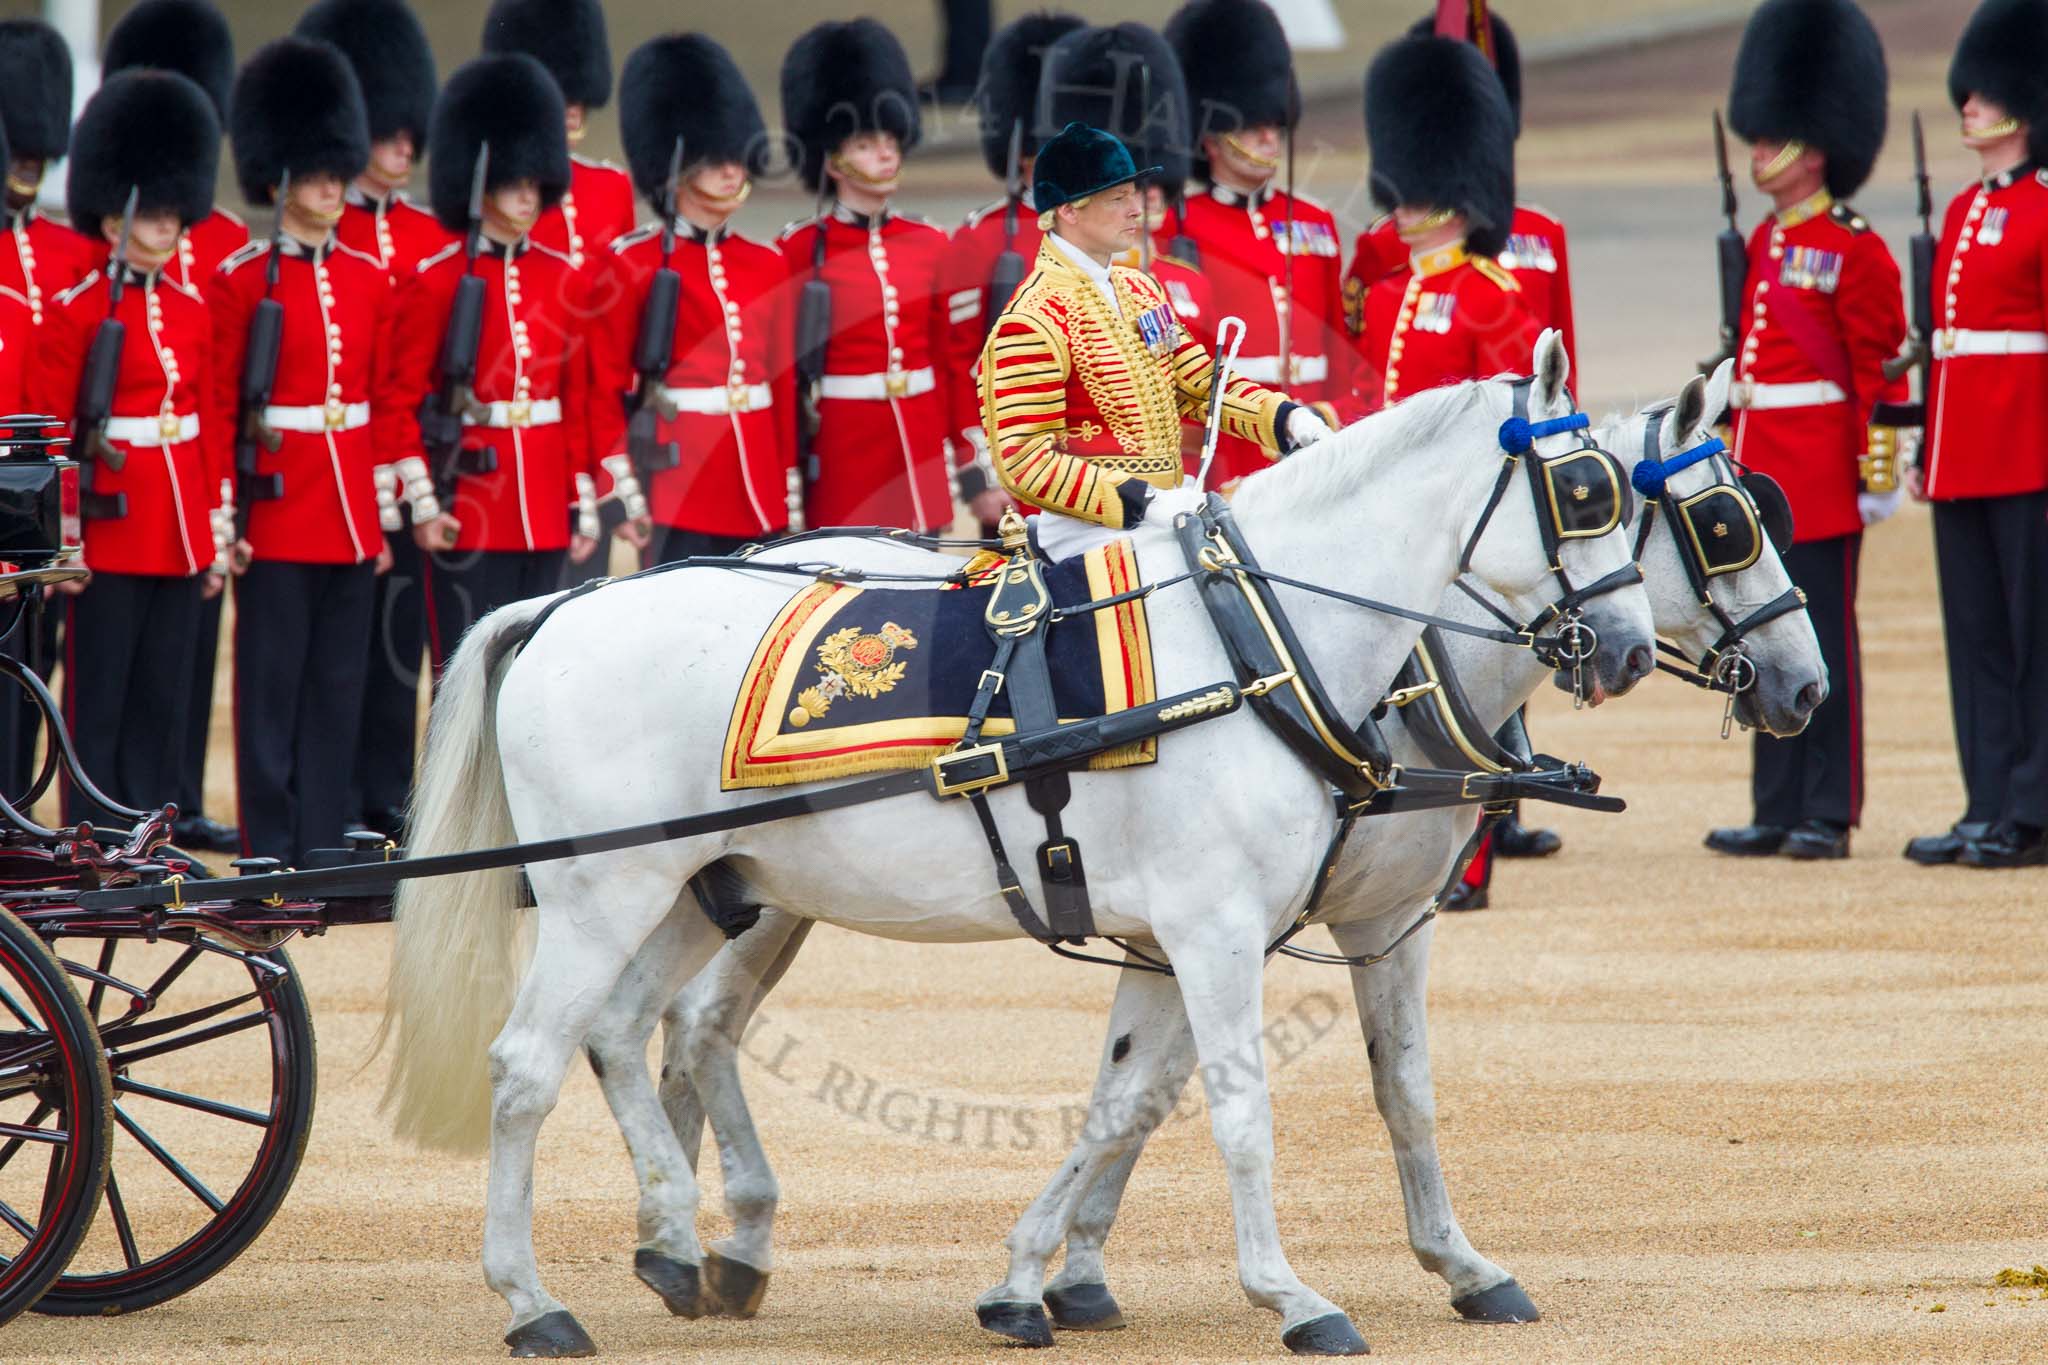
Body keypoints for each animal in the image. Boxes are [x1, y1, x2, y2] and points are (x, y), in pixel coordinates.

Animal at [379, 331, 1659, 1357]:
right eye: (1583, 491)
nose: (1628, 650)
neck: (1256, 643)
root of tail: (564, 607)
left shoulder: (1224, 934)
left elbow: (1167, 1099)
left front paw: (1033, 1281)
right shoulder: (1216, 932)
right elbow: (1236, 1112)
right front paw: (1290, 1296)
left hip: (702, 887)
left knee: (628, 1029)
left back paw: (677, 1243)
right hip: (602, 892)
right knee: (529, 1064)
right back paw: (536, 1301)